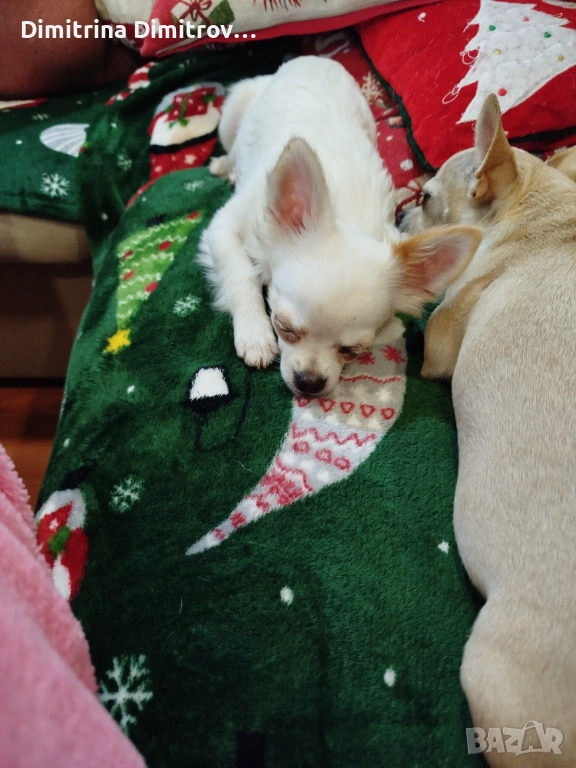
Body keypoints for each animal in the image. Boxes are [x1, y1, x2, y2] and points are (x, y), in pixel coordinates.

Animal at [199, 56, 482, 396]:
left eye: (351, 350)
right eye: (283, 327)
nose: (309, 381)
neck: (347, 217)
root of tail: (313, 57)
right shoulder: (224, 226)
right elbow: (242, 275)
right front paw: (255, 335)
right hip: (233, 112)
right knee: (232, 146)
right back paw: (224, 167)